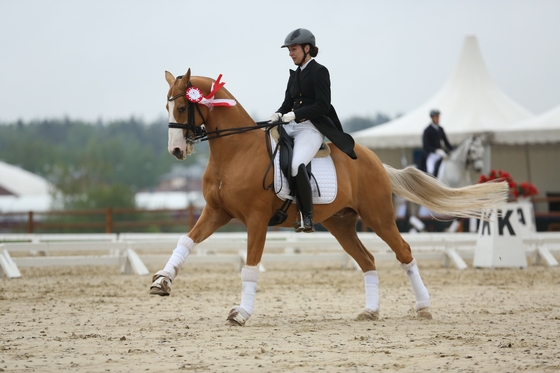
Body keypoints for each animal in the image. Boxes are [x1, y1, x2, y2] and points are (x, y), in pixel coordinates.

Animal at [150, 70, 508, 326]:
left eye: (181, 106)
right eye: (167, 105)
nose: (176, 150)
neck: (235, 151)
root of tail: (375, 161)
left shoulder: (256, 220)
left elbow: (250, 266)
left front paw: (241, 313)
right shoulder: (216, 212)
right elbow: (185, 241)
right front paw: (162, 282)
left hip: (379, 217)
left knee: (404, 252)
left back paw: (423, 307)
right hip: (341, 224)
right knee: (367, 260)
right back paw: (370, 311)